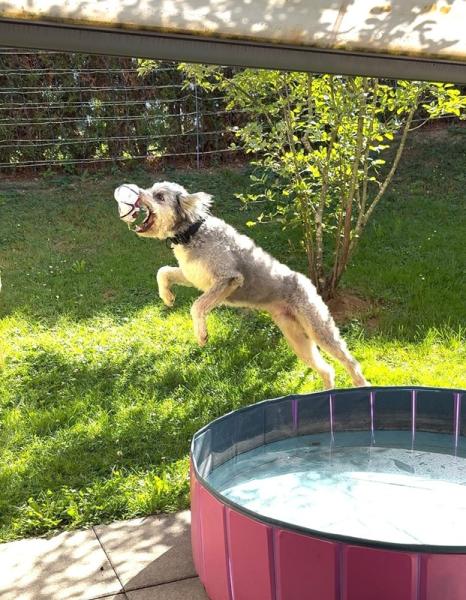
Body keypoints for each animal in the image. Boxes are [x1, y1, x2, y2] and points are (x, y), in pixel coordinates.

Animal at [114, 181, 369, 389]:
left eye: (159, 196)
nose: (135, 193)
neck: (193, 231)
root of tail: (307, 282)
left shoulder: (228, 279)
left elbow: (197, 306)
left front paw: (201, 335)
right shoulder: (192, 276)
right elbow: (163, 273)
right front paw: (167, 297)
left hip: (320, 330)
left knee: (350, 363)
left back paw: (361, 386)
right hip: (298, 339)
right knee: (328, 370)